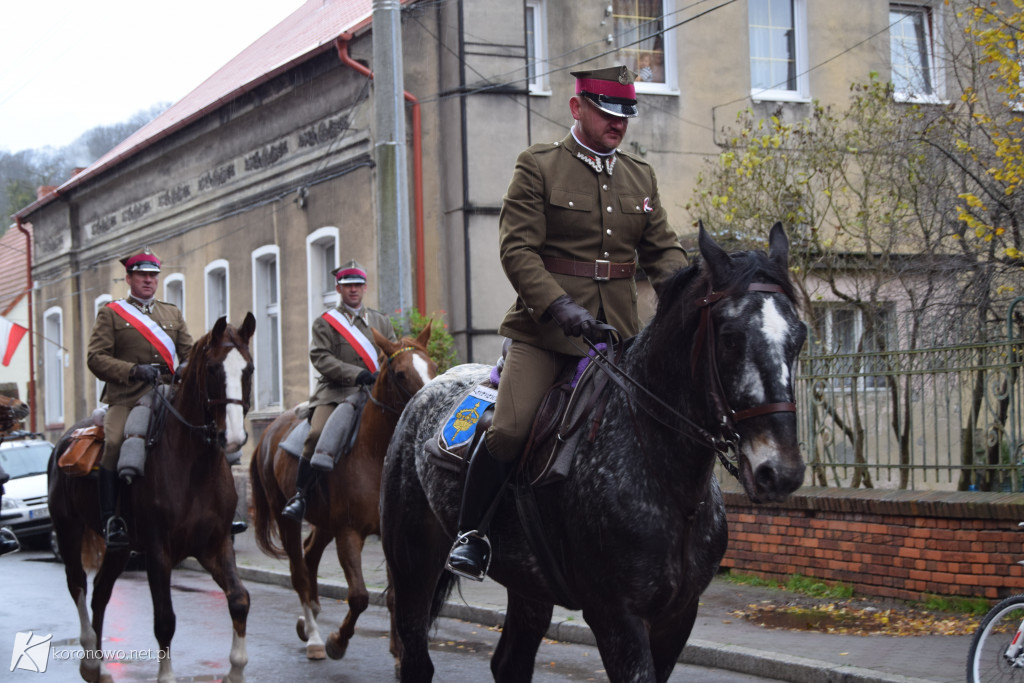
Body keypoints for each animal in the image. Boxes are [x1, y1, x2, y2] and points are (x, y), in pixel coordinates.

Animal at [48, 315, 258, 683]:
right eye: (213, 369)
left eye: (248, 369)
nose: (232, 438)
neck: (194, 467)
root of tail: (65, 438)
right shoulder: (159, 552)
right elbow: (165, 619)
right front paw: (167, 676)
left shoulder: (215, 545)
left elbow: (239, 599)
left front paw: (235, 670)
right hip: (68, 529)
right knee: (78, 585)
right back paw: (89, 661)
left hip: (119, 547)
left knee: (101, 591)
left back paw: (100, 667)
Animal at [252, 325, 440, 663]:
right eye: (401, 374)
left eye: (433, 366)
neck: (375, 454)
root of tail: (271, 430)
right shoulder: (349, 532)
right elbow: (359, 596)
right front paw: (337, 641)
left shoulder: (388, 533)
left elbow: (395, 596)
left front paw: (399, 651)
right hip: (287, 518)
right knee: (299, 572)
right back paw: (314, 638)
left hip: (324, 522)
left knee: (310, 555)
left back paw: (310, 617)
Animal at [380, 224, 802, 683]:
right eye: (729, 337)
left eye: (799, 336)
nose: (780, 471)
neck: (670, 482)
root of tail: (426, 390)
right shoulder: (616, 616)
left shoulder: (679, 616)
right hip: (413, 564)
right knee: (416, 657)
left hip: (528, 582)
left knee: (509, 662)